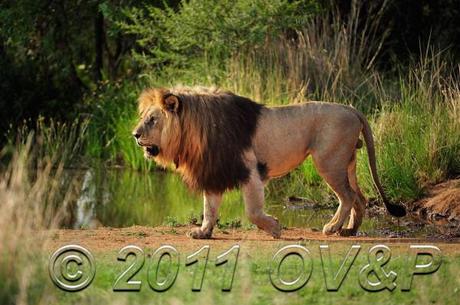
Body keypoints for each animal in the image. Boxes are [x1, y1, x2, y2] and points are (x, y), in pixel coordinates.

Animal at [133, 85, 406, 238]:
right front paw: (203, 232)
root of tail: (351, 108)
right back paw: (349, 230)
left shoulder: (250, 170)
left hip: (328, 161)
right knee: (360, 198)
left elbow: (252, 211)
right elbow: (209, 208)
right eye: (145, 117)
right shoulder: (216, 170)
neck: (195, 131)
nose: (134, 135)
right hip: (347, 163)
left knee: (347, 197)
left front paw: (275, 228)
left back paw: (332, 228)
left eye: (152, 119)